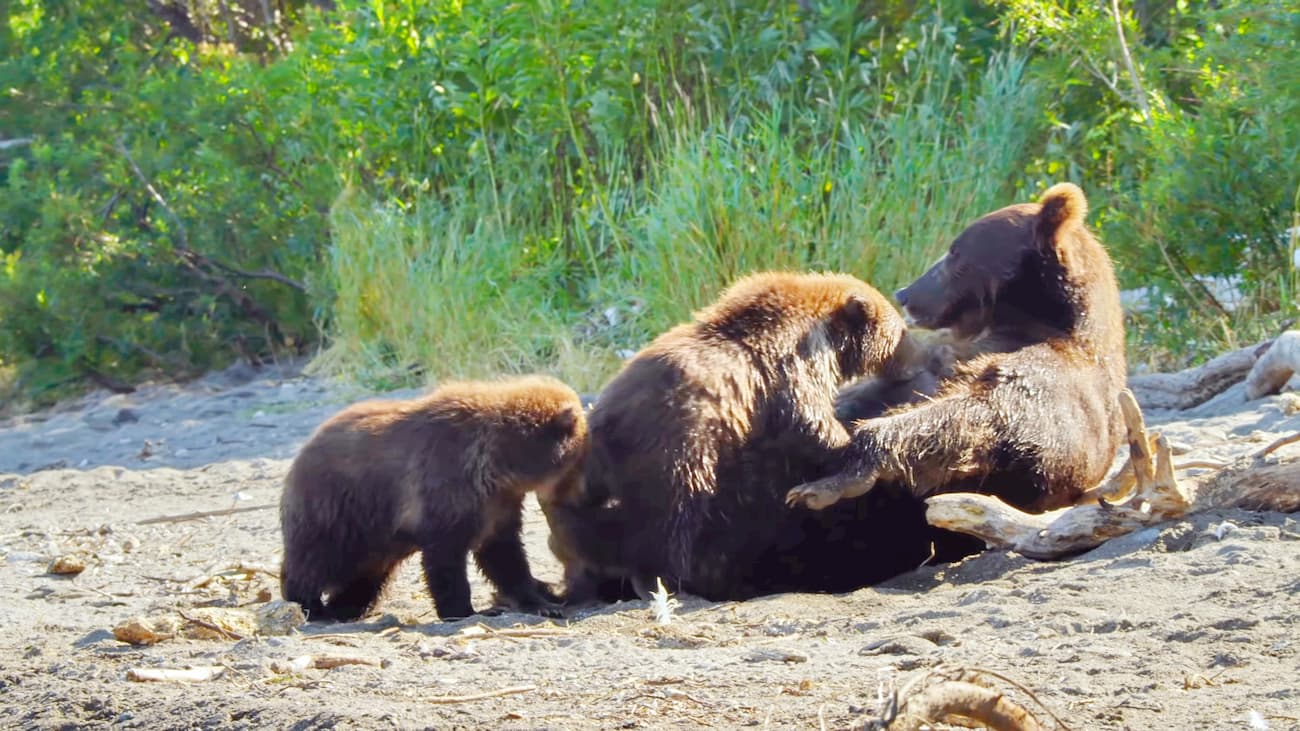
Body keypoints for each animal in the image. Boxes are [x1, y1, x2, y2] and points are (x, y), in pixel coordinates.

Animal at [279, 375, 588, 622]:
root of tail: (302, 451)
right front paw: (464, 610)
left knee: (367, 576)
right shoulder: (448, 487)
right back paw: (307, 604)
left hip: (373, 540)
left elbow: (504, 553)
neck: (500, 465)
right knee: (315, 559)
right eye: (580, 454)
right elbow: (445, 555)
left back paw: (344, 608)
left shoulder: (498, 504)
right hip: (338, 512)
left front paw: (541, 602)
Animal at [540, 271, 951, 602]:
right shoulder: (789, 368)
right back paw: (665, 581)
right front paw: (844, 443)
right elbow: (809, 420)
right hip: (676, 454)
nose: (923, 357)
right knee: (669, 520)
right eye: (900, 331)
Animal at [787, 182, 1127, 515]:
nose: (904, 294)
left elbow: (981, 409)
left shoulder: (1050, 382)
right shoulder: (937, 356)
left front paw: (829, 481)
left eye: (954, 252)